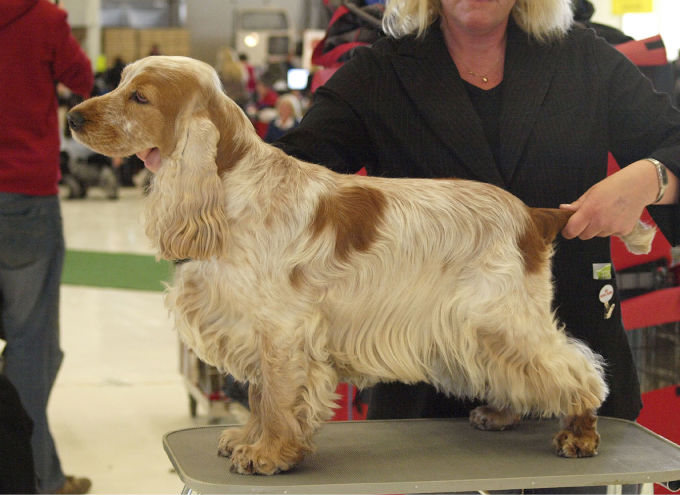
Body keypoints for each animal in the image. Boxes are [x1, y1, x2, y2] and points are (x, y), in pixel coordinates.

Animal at [67, 55, 652, 476]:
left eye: (140, 96)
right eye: (120, 82)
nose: (72, 116)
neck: (229, 183)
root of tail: (531, 214)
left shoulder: (282, 330)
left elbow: (275, 396)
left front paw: (269, 453)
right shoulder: (253, 326)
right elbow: (258, 394)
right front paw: (247, 439)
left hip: (501, 317)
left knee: (577, 370)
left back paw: (579, 433)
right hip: (479, 329)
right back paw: (501, 414)